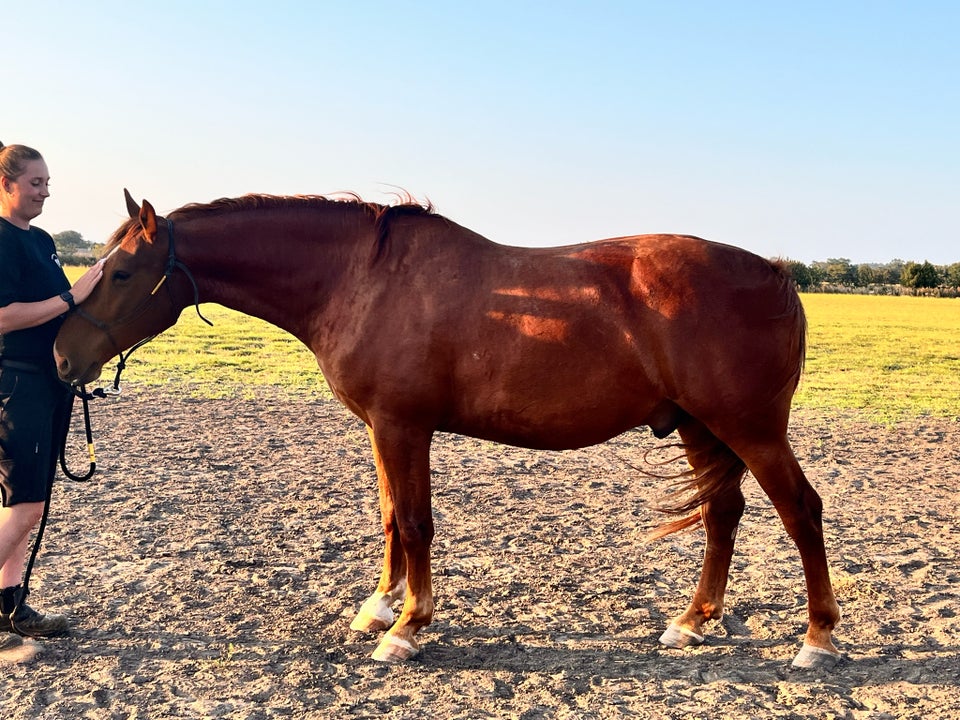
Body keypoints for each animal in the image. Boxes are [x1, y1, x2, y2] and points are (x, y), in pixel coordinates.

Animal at [54, 188, 840, 668]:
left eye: (121, 272)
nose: (61, 355)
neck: (360, 279)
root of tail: (773, 274)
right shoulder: (382, 428)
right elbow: (389, 517)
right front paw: (379, 607)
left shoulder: (404, 425)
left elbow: (415, 522)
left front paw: (407, 629)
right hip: (700, 427)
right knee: (723, 513)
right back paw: (693, 619)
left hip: (750, 429)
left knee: (800, 511)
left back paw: (817, 638)